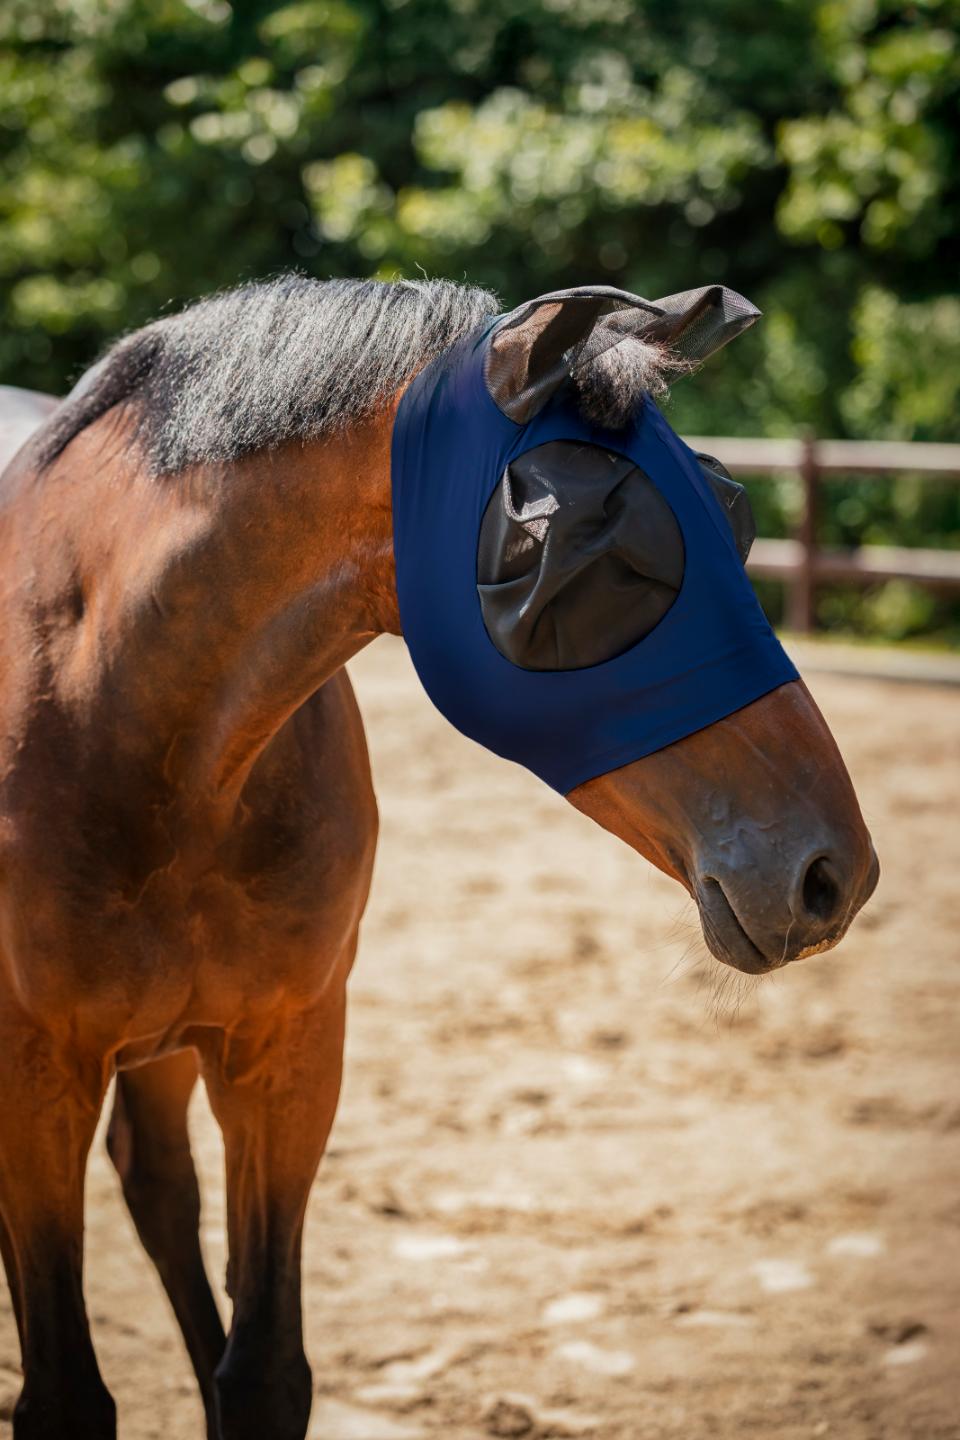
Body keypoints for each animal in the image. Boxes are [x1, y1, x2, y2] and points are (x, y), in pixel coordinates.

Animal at [0, 275, 878, 1439]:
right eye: (580, 549)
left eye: (730, 514)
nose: (835, 875)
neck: (125, 714)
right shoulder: (34, 1075)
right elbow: (63, 1394)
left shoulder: (286, 1053)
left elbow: (262, 1369)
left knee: (157, 1188)